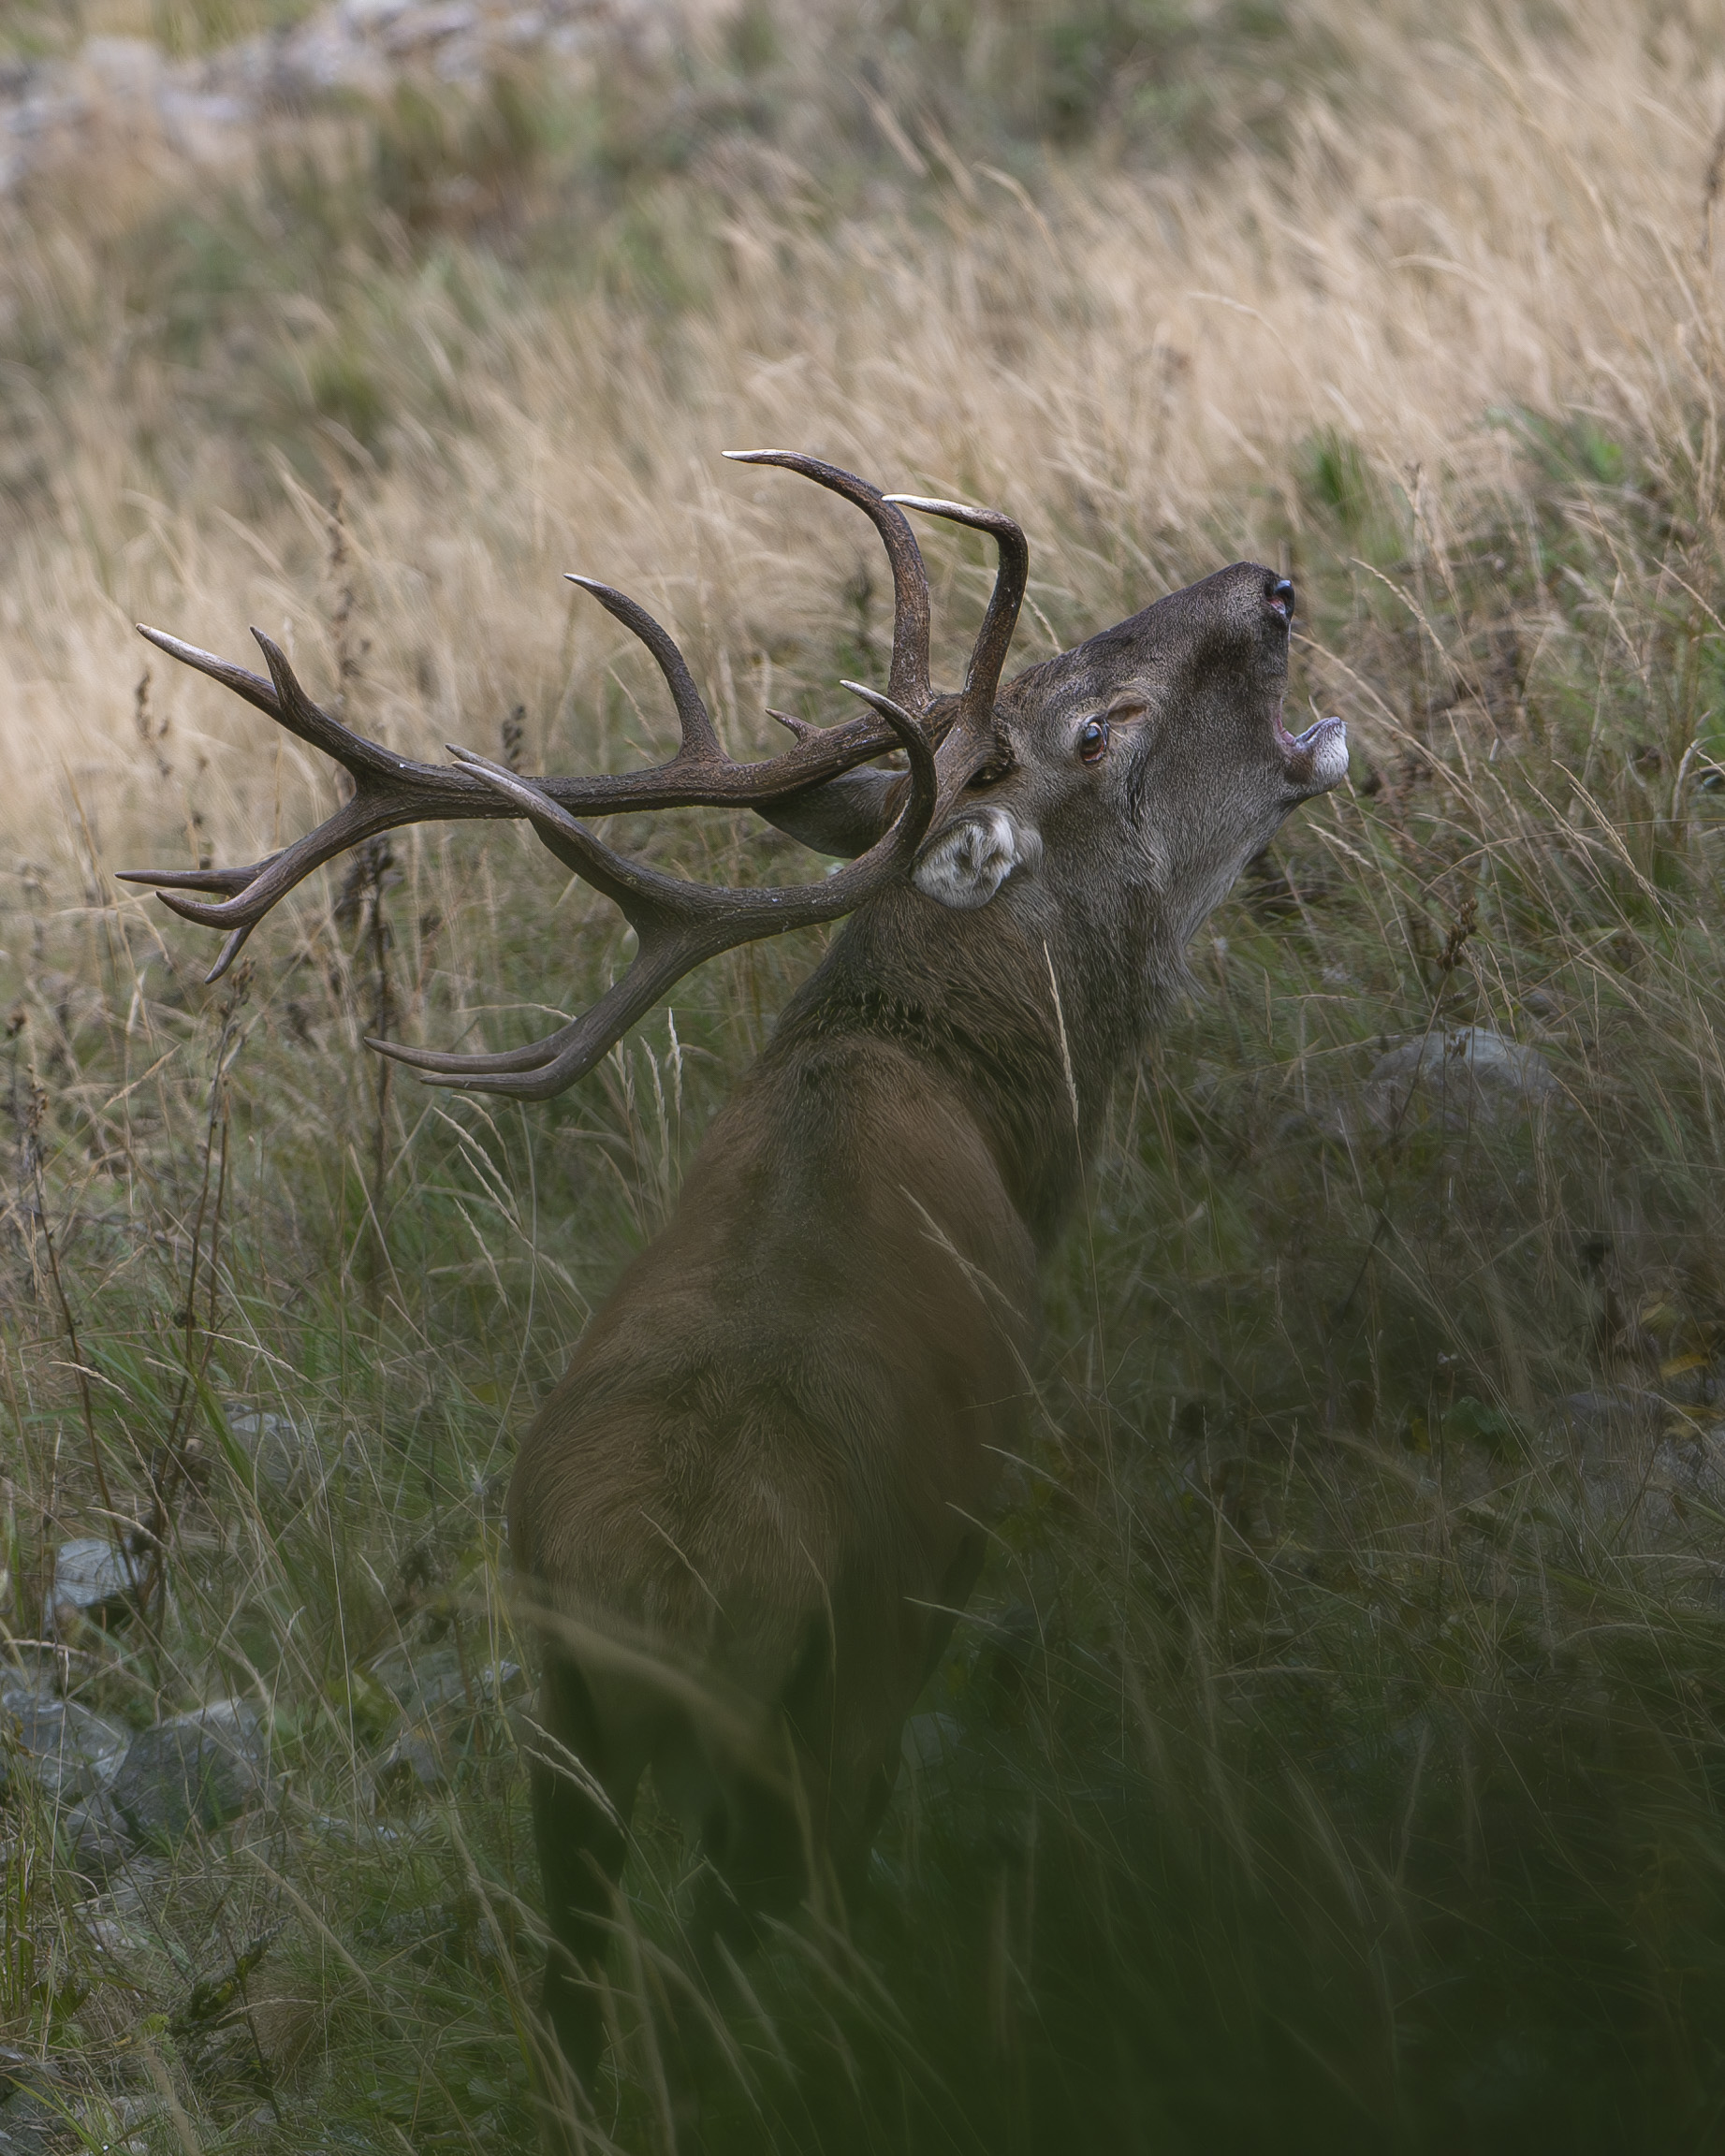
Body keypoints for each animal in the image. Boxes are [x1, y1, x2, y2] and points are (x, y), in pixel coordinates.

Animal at [119, 451, 1347, 2121]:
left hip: (560, 1725)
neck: (974, 1104)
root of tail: (666, 1596)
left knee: (578, 1992)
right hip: (820, 1700)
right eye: (1100, 726)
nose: (1268, 585)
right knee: (712, 1967)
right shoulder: (938, 1574)